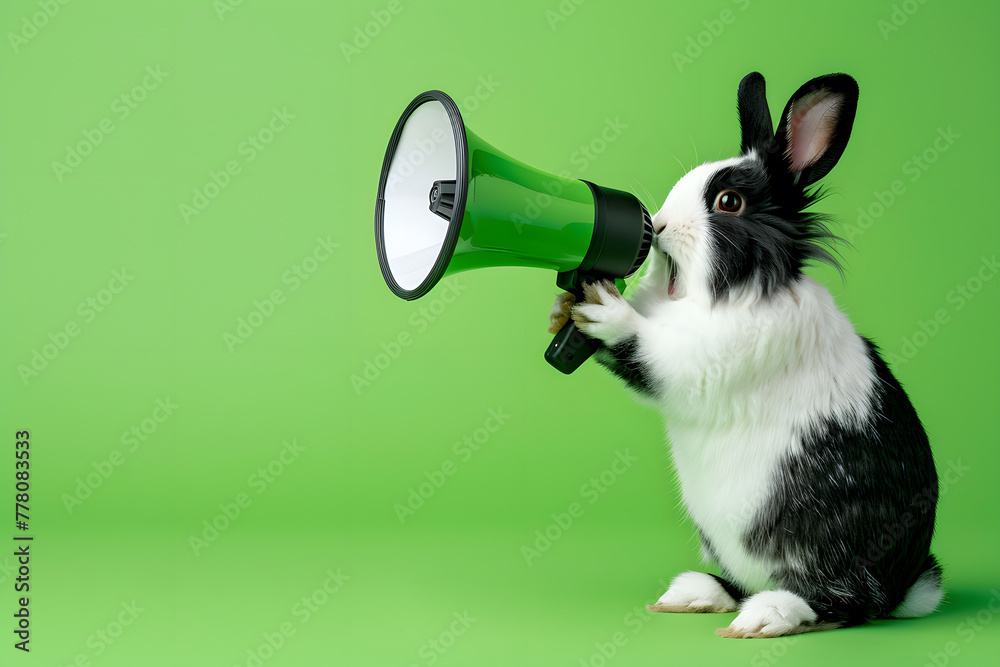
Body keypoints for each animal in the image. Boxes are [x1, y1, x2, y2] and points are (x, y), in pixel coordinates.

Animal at [549, 72, 942, 638]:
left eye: (729, 202)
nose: (659, 226)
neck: (728, 294)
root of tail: (908, 585)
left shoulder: (705, 357)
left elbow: (647, 352)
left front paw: (604, 311)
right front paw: (564, 309)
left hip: (830, 551)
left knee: (842, 604)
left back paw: (766, 617)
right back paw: (695, 594)